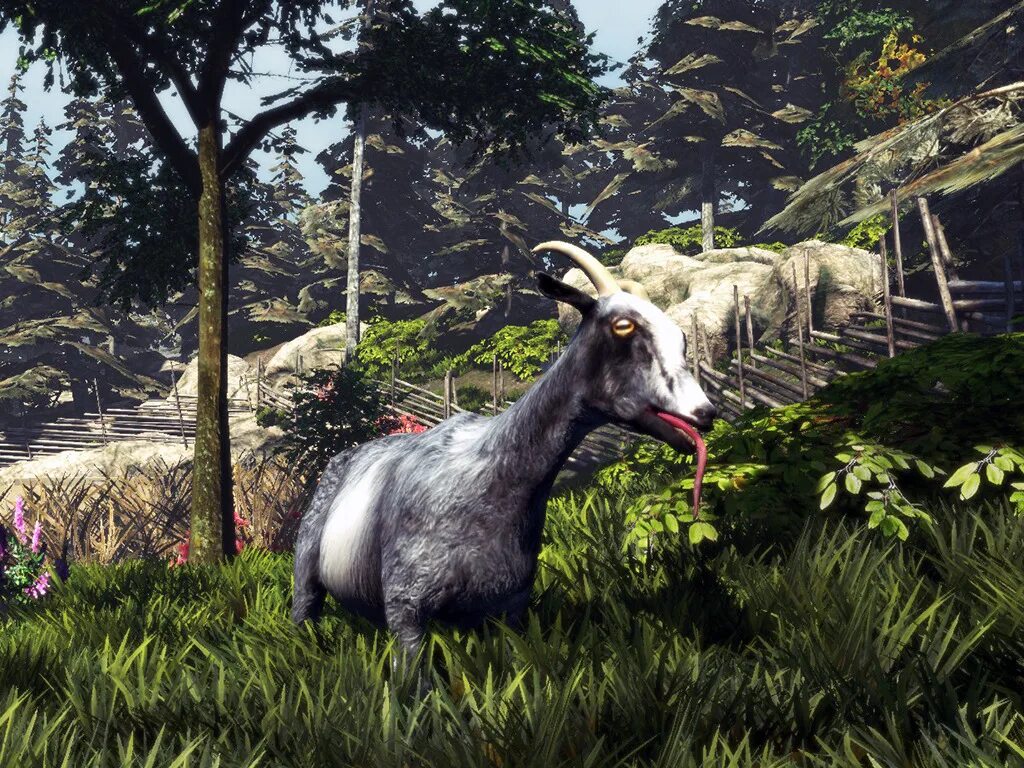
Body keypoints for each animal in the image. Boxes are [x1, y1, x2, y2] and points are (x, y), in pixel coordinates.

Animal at [291, 241, 717, 658]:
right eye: (623, 325)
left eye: (681, 337)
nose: (704, 413)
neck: (495, 481)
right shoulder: (406, 606)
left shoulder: (508, 608)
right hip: (307, 564)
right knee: (304, 611)